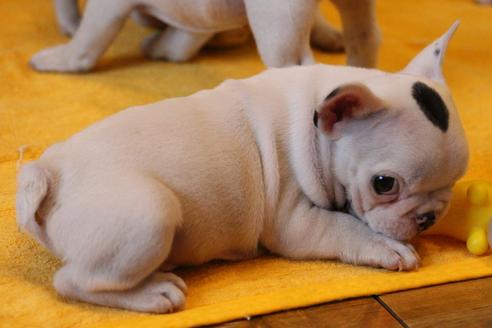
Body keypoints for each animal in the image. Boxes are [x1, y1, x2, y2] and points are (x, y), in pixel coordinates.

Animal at [16, 23, 468, 312]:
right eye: (384, 184)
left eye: (455, 181)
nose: (428, 218)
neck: (318, 129)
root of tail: (50, 170)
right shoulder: (294, 221)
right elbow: (345, 227)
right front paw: (387, 247)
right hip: (149, 214)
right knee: (72, 281)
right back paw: (152, 293)